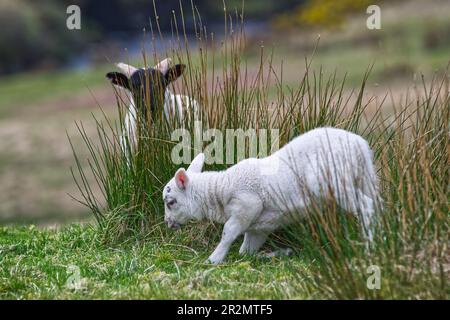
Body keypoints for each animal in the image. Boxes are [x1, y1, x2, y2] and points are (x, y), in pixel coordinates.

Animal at [162, 126, 380, 264]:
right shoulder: (258, 228)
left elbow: (228, 233)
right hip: (364, 179)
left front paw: (213, 259)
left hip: (335, 180)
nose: (168, 224)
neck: (221, 189)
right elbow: (245, 253)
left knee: (367, 207)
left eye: (171, 202)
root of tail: (360, 146)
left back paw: (369, 248)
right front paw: (280, 253)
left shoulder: (247, 207)